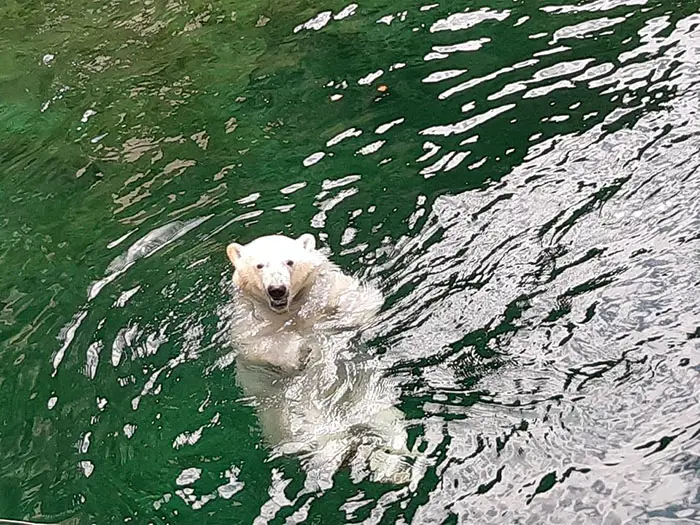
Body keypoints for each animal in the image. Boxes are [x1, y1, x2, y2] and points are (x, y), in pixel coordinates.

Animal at [226, 232, 416, 488]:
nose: (277, 290)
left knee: (390, 426)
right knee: (322, 440)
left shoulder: (325, 286)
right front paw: (301, 351)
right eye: (259, 265)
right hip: (294, 419)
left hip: (369, 397)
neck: (290, 310)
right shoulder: (247, 318)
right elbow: (258, 347)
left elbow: (363, 300)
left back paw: (391, 467)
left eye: (289, 261)